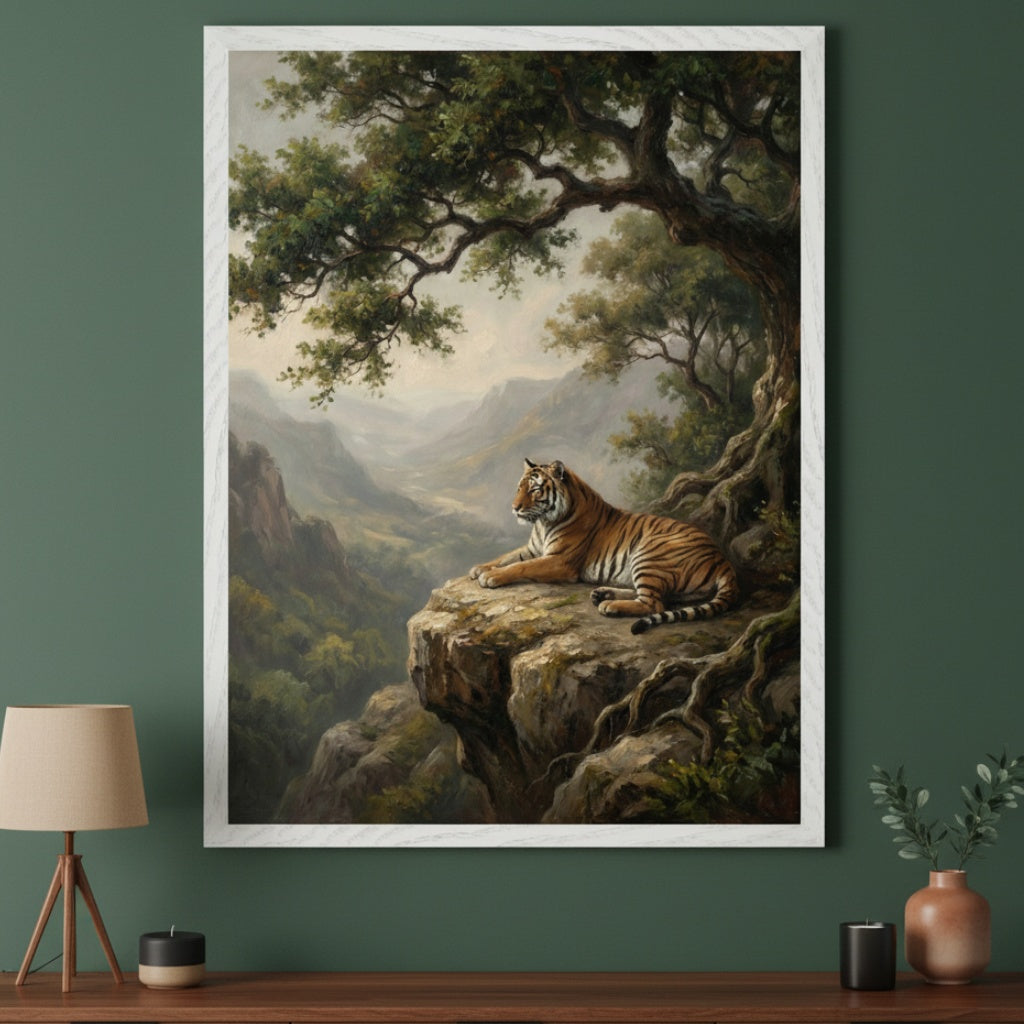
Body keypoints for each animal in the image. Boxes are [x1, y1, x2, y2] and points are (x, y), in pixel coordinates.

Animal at [469, 458, 739, 634]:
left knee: (653, 603)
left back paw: (609, 605)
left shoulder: (560, 560)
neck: (543, 523)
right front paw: (479, 568)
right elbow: (507, 557)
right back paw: (602, 594)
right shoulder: (534, 549)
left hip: (649, 553)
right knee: (655, 597)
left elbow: (521, 567)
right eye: (519, 488)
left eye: (534, 489)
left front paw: (491, 577)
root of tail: (722, 558)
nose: (514, 508)